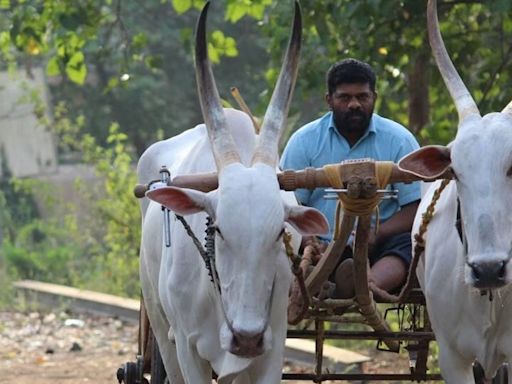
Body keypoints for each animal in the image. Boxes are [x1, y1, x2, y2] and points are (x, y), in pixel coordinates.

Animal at [137, 2, 328, 380]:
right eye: (218, 229)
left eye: (279, 233)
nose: (246, 336)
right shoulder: (187, 347)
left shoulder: (271, 345)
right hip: (159, 323)